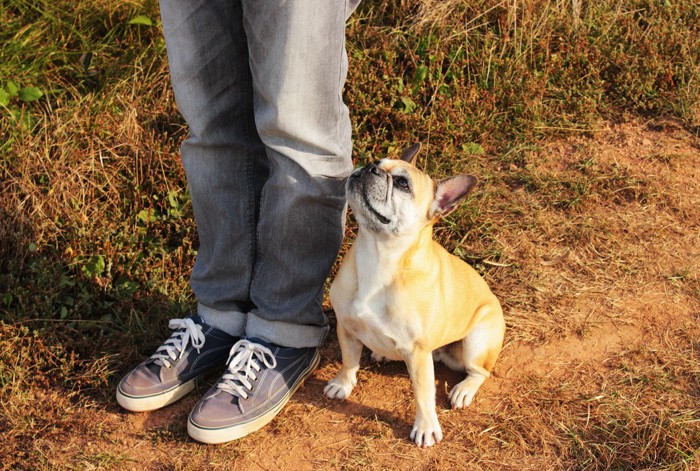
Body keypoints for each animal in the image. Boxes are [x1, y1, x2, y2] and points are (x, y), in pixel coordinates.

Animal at [326, 146, 506, 448]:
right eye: (378, 161)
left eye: (402, 183)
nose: (371, 168)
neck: (379, 254)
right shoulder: (347, 327)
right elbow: (349, 361)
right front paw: (342, 384)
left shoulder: (418, 352)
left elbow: (423, 395)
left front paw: (425, 427)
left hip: (476, 343)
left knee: (479, 371)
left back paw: (464, 390)